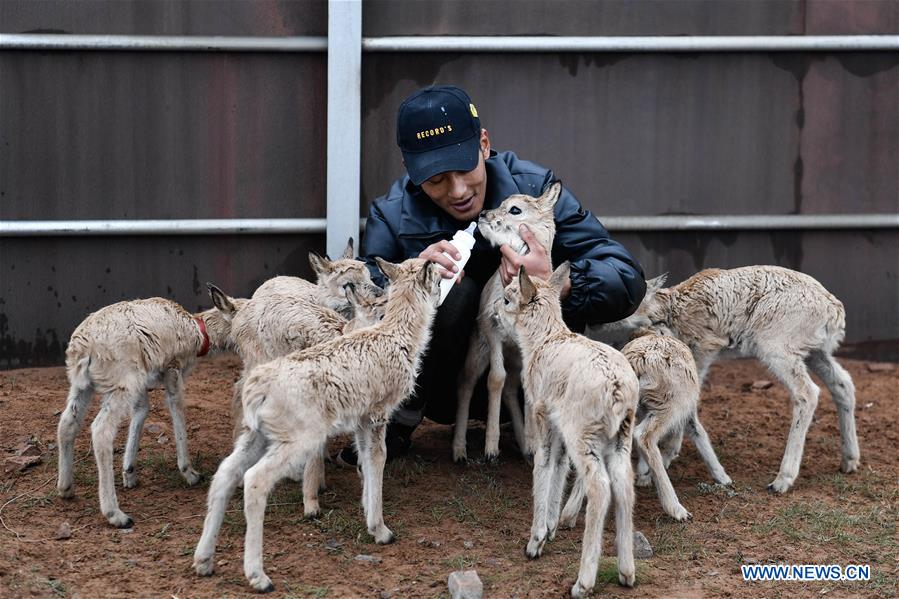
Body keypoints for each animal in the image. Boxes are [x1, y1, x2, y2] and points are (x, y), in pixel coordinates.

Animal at [58, 288, 244, 528]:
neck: (198, 332)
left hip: (83, 385)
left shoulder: (143, 384)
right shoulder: (172, 370)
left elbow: (142, 410)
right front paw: (190, 473)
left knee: (67, 423)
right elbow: (177, 407)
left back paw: (66, 488)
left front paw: (129, 473)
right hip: (122, 383)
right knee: (101, 430)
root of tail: (83, 347)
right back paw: (116, 515)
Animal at [193, 260, 442, 592]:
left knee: (225, 475)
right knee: (256, 480)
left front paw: (368, 515)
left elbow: (366, 461)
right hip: (297, 438)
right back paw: (259, 576)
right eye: (437, 280)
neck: (395, 336)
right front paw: (381, 530)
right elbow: (378, 460)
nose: (445, 284)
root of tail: (258, 387)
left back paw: (204, 560)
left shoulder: (361, 420)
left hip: (256, 436)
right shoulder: (378, 414)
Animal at [454, 183, 560, 464]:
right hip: (477, 352)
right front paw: (491, 448)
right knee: (466, 383)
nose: (483, 214)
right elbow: (495, 378)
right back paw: (459, 450)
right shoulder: (492, 329)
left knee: (513, 387)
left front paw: (533, 443)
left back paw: (526, 446)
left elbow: (524, 382)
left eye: (515, 209)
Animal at [500, 264, 640, 599]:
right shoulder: (559, 429)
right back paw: (626, 573)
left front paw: (536, 541)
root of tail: (617, 387)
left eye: (507, 299)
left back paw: (583, 583)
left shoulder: (541, 418)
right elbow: (559, 468)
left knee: (600, 488)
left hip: (583, 435)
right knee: (623, 484)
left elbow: (543, 466)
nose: (495, 314)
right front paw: (550, 527)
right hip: (620, 438)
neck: (545, 340)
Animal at [620, 268, 856, 492]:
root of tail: (833, 309)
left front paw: (665, 457)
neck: (673, 308)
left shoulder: (703, 351)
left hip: (778, 349)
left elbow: (690, 401)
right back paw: (850, 461)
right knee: (843, 384)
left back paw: (781, 480)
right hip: (816, 351)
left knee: (807, 393)